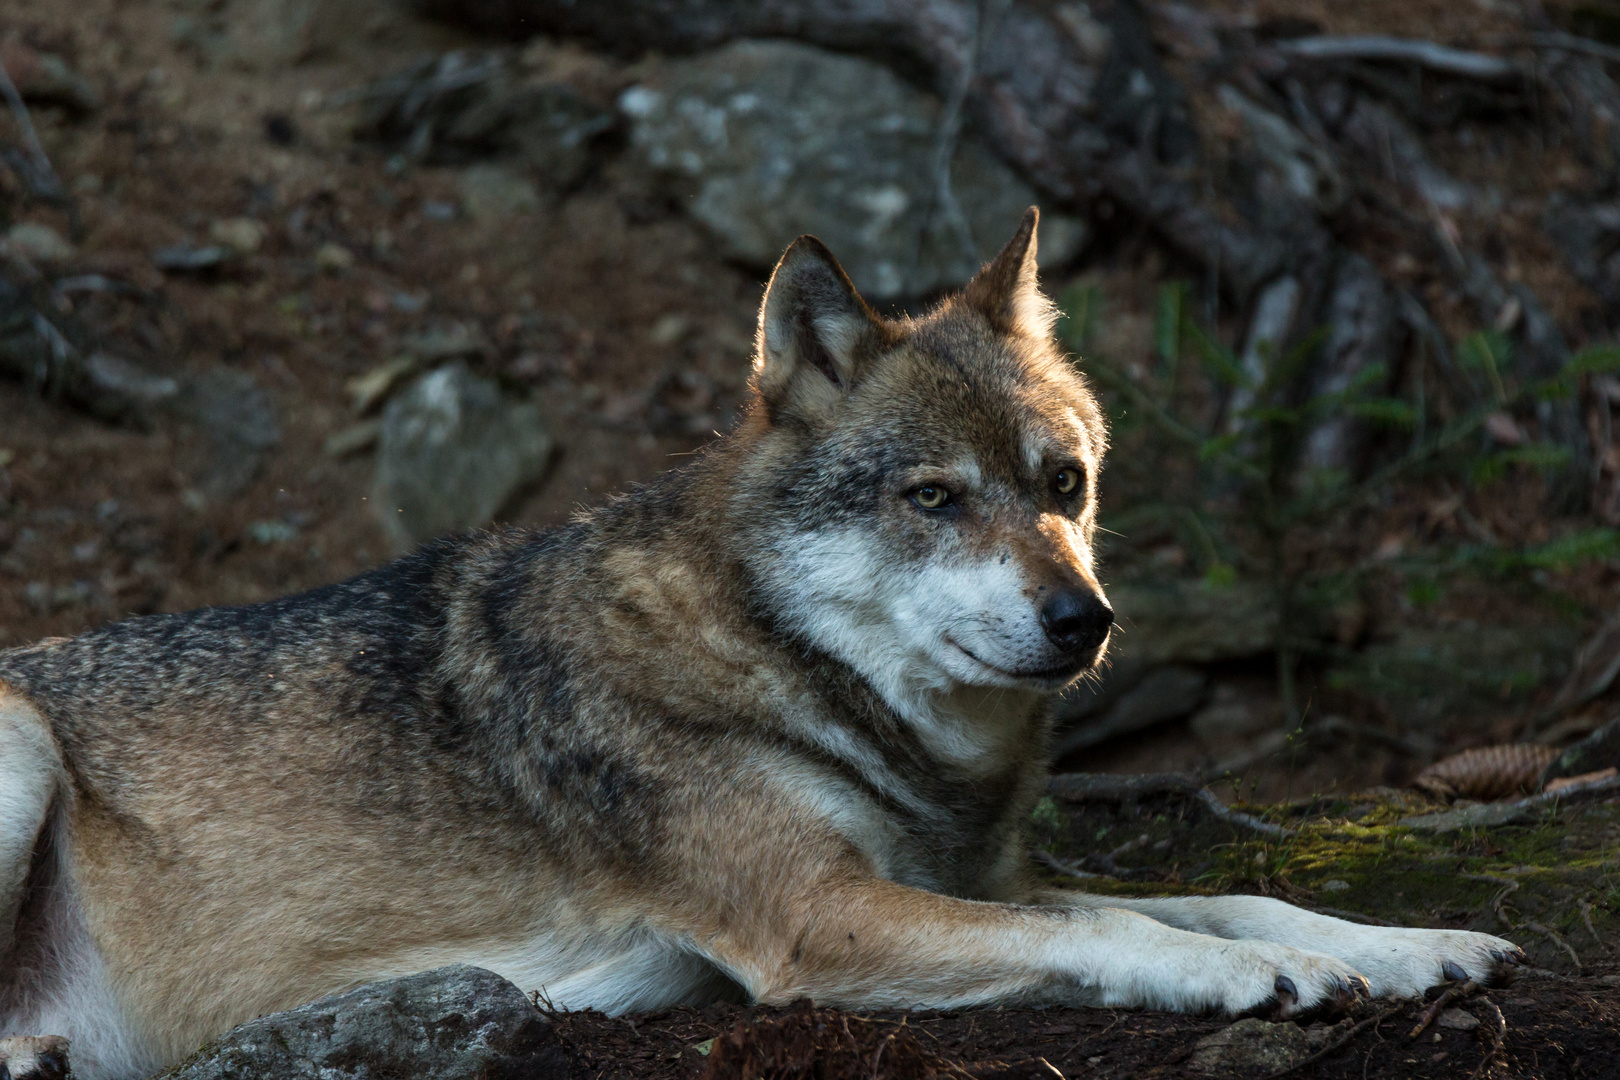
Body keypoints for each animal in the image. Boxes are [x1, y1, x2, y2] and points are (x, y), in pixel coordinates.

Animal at [3, 213, 1516, 1080]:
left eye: (1065, 483)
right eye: (933, 498)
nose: (1082, 620)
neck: (787, 666)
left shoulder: (968, 876)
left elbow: (1221, 895)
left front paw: (1404, 944)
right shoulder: (816, 916)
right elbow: (1114, 927)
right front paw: (1257, 981)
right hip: (19, 743)